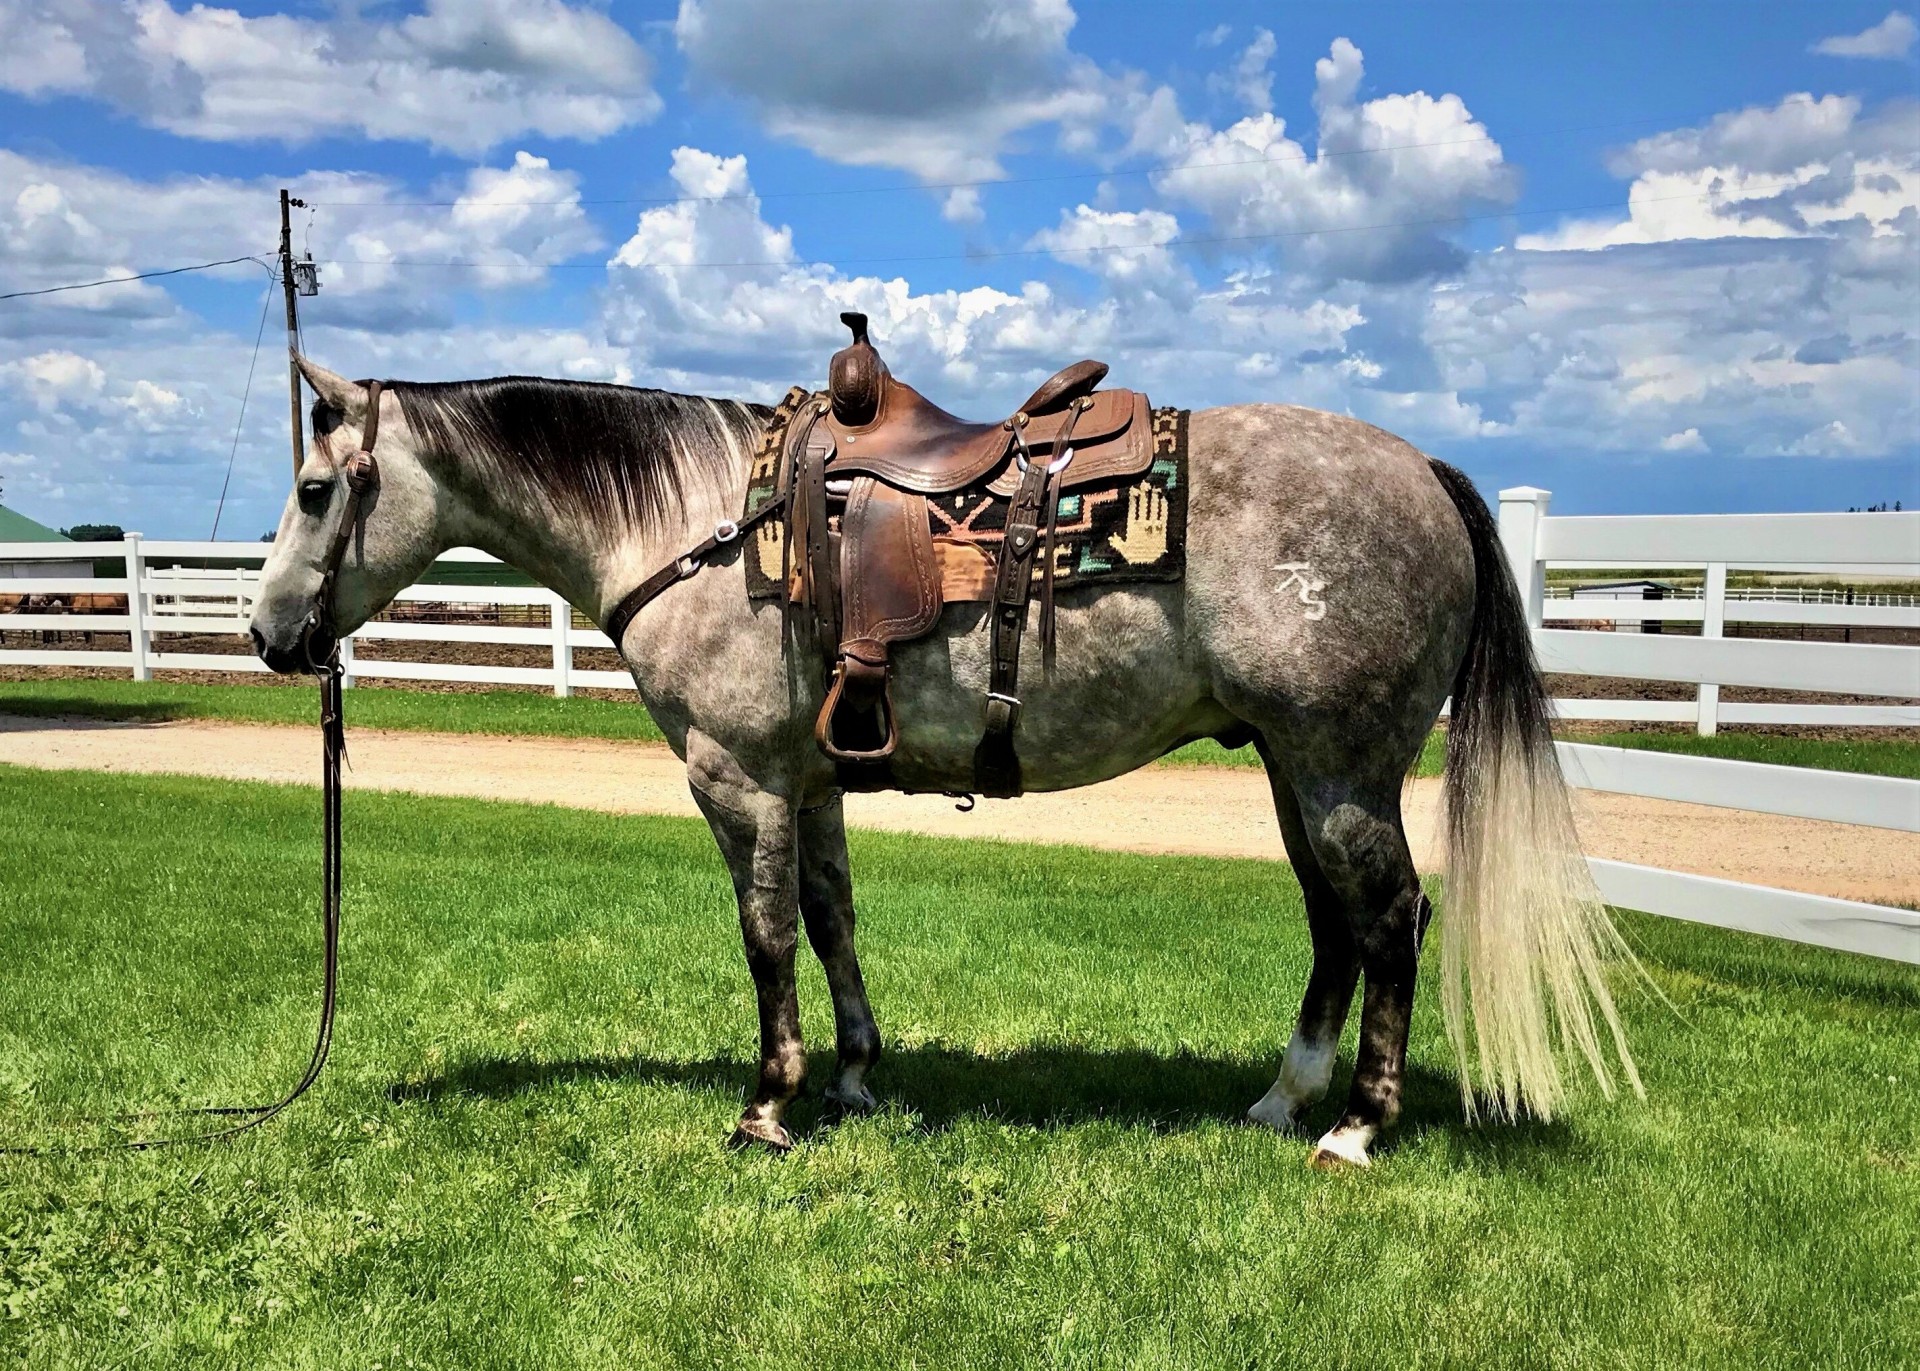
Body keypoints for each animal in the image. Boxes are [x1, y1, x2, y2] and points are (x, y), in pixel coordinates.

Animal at [251, 355, 1635, 1167]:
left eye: (318, 489)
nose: (269, 633)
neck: (704, 522)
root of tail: (1424, 472)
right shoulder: (808, 784)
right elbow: (831, 921)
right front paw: (857, 1078)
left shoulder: (738, 779)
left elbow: (765, 939)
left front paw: (769, 1104)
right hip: (1299, 774)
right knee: (1335, 926)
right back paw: (1283, 1099)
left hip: (1342, 771)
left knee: (1391, 917)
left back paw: (1355, 1127)